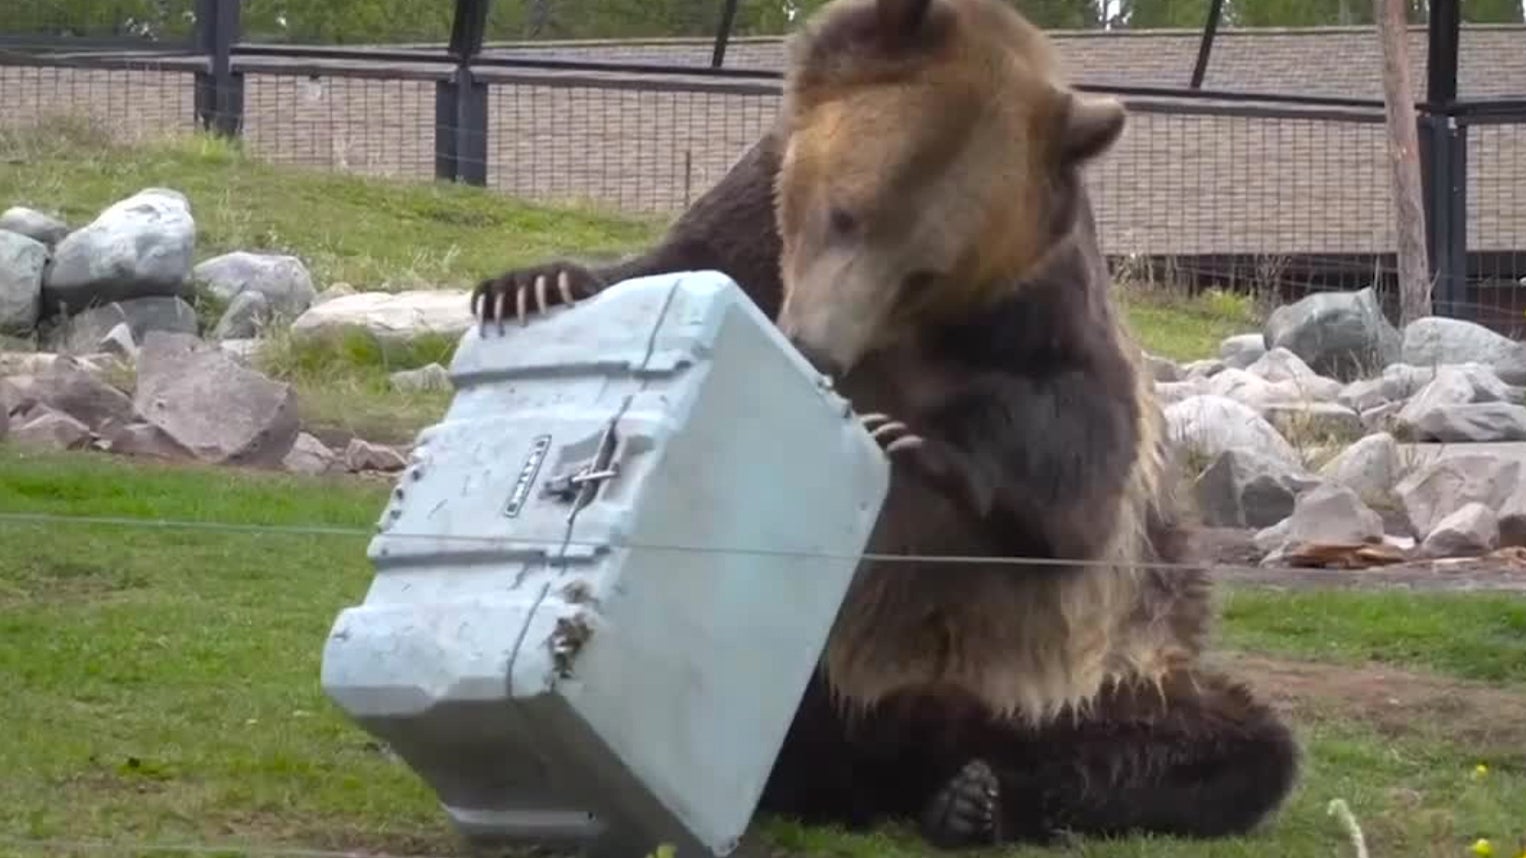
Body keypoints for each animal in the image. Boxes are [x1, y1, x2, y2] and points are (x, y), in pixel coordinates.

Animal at [471, 0, 1301, 849]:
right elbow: (681, 255)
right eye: (845, 213)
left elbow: (1075, 463)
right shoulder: (757, 216)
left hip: (1084, 681)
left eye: (924, 271)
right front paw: (536, 283)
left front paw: (928, 451)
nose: (816, 348)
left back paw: (977, 798)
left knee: (1226, 744)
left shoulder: (1039, 312)